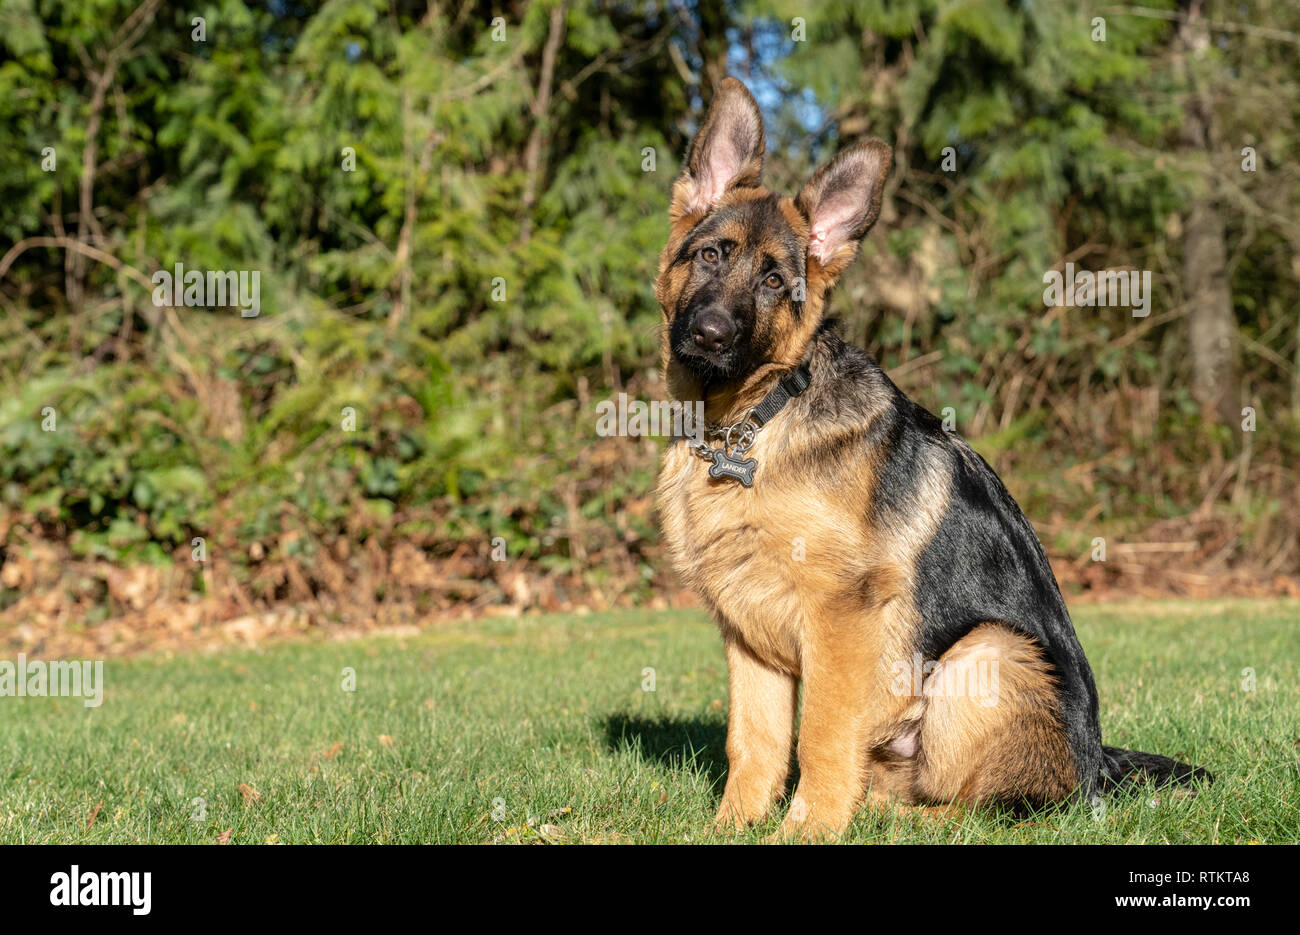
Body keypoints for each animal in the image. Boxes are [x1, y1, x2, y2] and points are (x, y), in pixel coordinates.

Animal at [655, 78, 1211, 842]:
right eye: (711, 255)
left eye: (773, 283)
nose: (710, 334)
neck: (755, 421)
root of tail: (1098, 770)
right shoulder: (749, 633)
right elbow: (756, 740)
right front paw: (732, 825)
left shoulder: (841, 616)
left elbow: (819, 733)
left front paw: (807, 829)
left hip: (985, 653)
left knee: (995, 808)